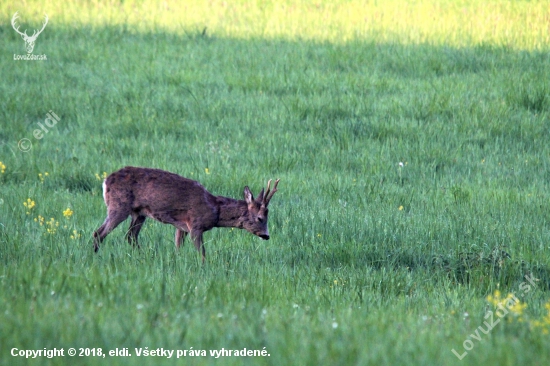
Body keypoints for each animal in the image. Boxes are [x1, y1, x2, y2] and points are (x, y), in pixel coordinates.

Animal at [94, 166, 280, 260]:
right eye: (260, 218)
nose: (266, 236)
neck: (215, 210)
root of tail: (105, 181)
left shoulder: (181, 227)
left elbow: (178, 248)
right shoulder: (195, 225)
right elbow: (202, 253)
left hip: (139, 213)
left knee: (130, 236)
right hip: (118, 206)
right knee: (99, 233)